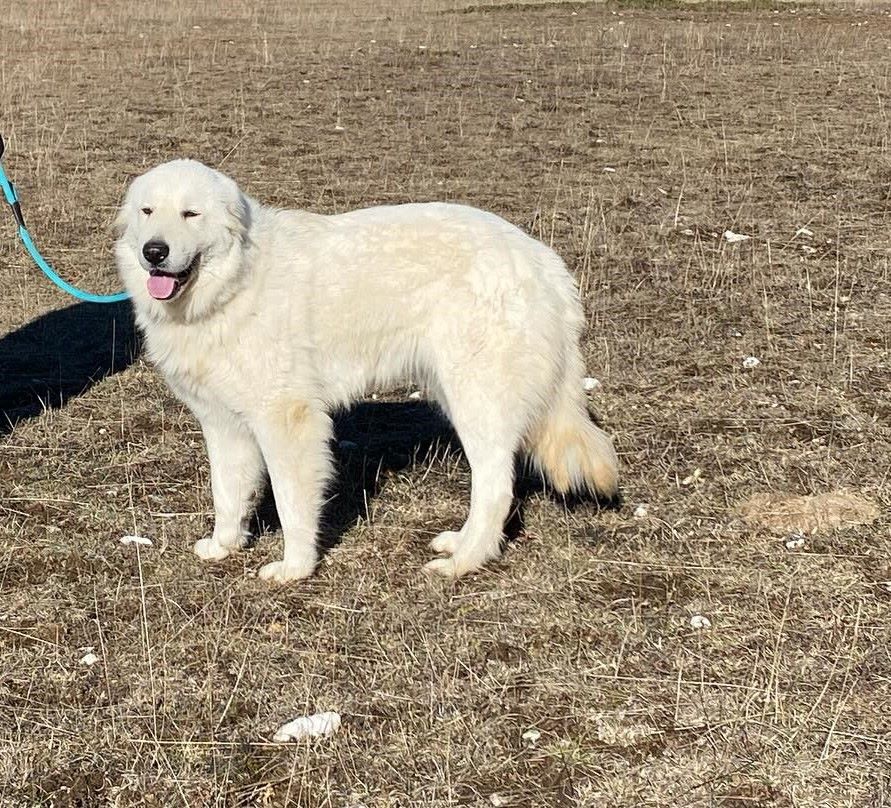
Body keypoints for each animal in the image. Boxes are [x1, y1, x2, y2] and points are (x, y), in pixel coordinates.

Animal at [115, 160, 618, 582]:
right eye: (147, 210)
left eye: (190, 214)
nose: (154, 251)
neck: (235, 284)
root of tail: (541, 259)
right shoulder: (223, 424)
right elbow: (227, 493)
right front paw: (224, 546)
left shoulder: (287, 421)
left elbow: (292, 503)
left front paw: (295, 568)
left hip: (477, 400)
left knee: (495, 487)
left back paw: (464, 561)